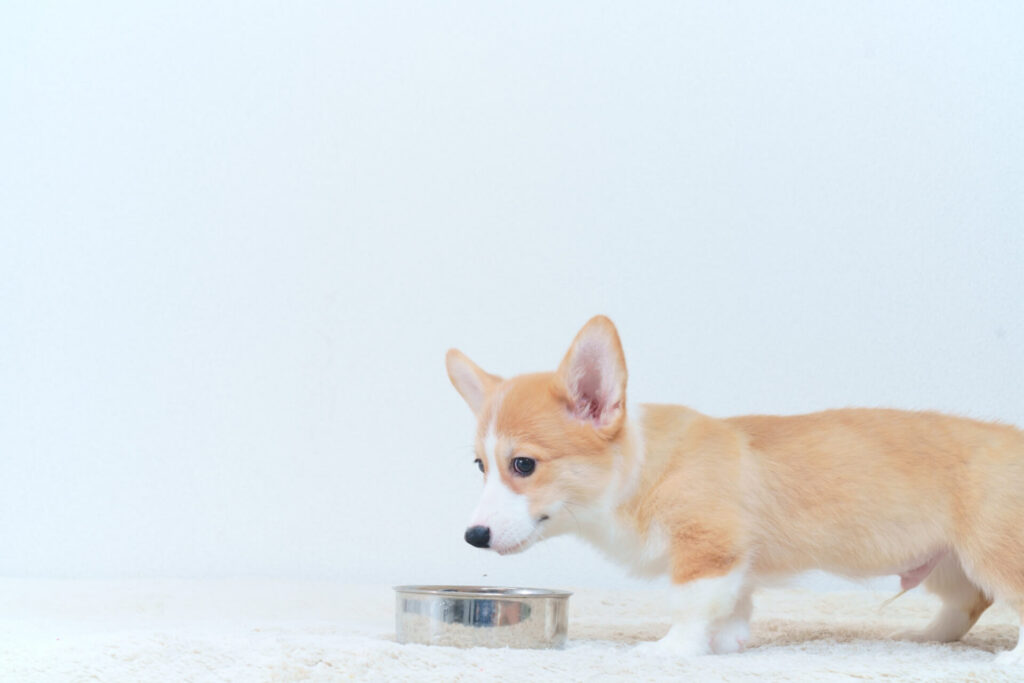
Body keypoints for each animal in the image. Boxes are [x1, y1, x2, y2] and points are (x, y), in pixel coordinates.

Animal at [444, 317, 1024, 663]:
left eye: (523, 464)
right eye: (480, 466)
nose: (473, 536)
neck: (642, 468)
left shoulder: (707, 549)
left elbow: (689, 604)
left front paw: (669, 650)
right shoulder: (735, 562)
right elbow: (734, 603)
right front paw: (728, 642)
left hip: (991, 554)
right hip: (948, 564)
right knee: (969, 602)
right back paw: (925, 637)